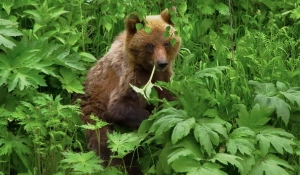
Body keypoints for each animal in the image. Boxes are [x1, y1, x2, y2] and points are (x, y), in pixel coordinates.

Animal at [80, 7, 180, 175]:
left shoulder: (163, 79)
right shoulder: (131, 78)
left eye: (166, 43)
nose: (162, 63)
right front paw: (152, 119)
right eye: (150, 45)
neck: (149, 69)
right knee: (107, 146)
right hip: (95, 116)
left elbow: (170, 99)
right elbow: (119, 106)